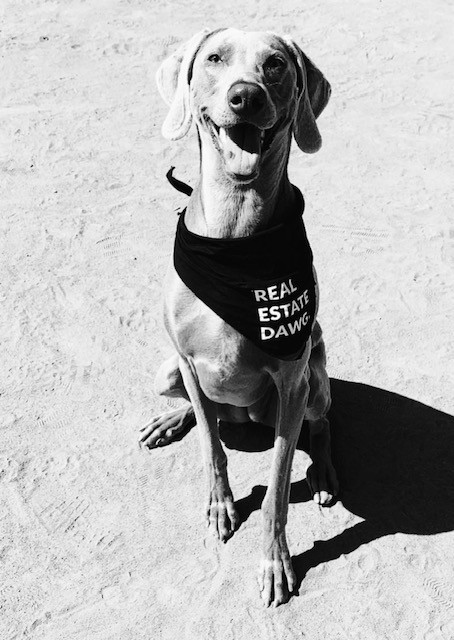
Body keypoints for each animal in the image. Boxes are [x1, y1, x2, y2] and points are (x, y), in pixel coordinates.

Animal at [140, 30, 338, 608]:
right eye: (214, 59)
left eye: (275, 65)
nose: (245, 96)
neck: (235, 239)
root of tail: (244, 417)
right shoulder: (186, 359)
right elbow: (211, 447)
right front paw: (221, 505)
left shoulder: (292, 381)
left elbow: (276, 489)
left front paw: (275, 561)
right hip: (166, 370)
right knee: (201, 410)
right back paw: (170, 420)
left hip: (313, 379)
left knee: (320, 426)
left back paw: (324, 474)